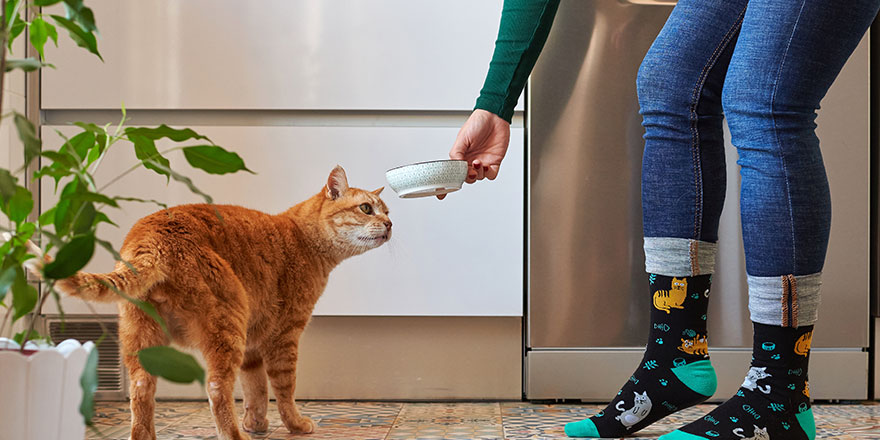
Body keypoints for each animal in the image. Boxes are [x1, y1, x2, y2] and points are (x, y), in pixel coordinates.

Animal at [40, 166, 388, 440]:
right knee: (217, 388)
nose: (390, 225)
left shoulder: (253, 343)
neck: (303, 239)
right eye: (366, 208)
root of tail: (151, 238)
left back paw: (146, 436)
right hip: (227, 326)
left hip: (143, 339)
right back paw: (233, 435)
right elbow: (283, 388)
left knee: (141, 390)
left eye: (387, 211)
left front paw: (256, 424)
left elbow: (256, 390)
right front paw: (295, 425)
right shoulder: (284, 336)